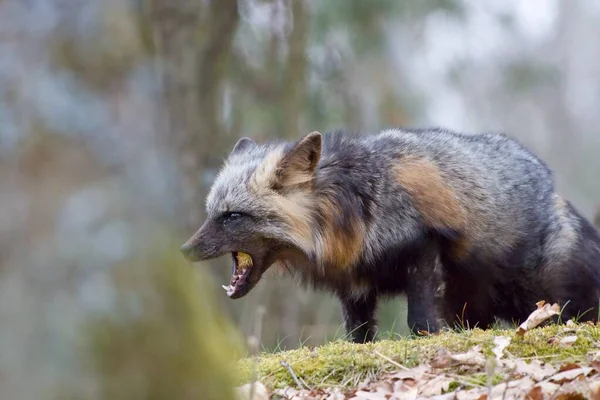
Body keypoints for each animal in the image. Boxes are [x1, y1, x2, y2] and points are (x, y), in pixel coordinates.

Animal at [180, 129, 600, 344]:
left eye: (232, 216)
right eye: (211, 213)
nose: (184, 251)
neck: (353, 210)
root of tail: (553, 192)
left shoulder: (423, 248)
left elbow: (420, 323)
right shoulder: (353, 283)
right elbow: (359, 335)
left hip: (549, 299)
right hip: (472, 308)